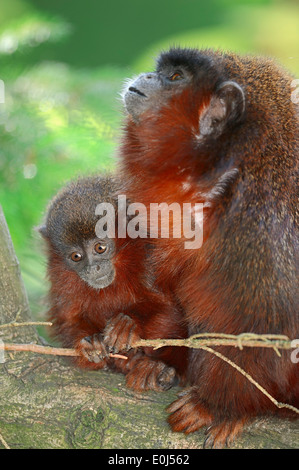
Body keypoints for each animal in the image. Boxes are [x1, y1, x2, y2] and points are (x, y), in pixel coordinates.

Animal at [39, 174, 188, 392]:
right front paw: (89, 342)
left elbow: (173, 311)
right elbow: (68, 320)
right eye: (76, 256)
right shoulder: (61, 278)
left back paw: (159, 368)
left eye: (100, 248)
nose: (93, 268)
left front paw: (128, 324)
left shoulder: (153, 258)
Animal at [118, 47, 298, 448]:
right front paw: (146, 343)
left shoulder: (264, 227)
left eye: (174, 77)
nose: (145, 77)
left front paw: (218, 406)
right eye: (162, 72)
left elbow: (268, 324)